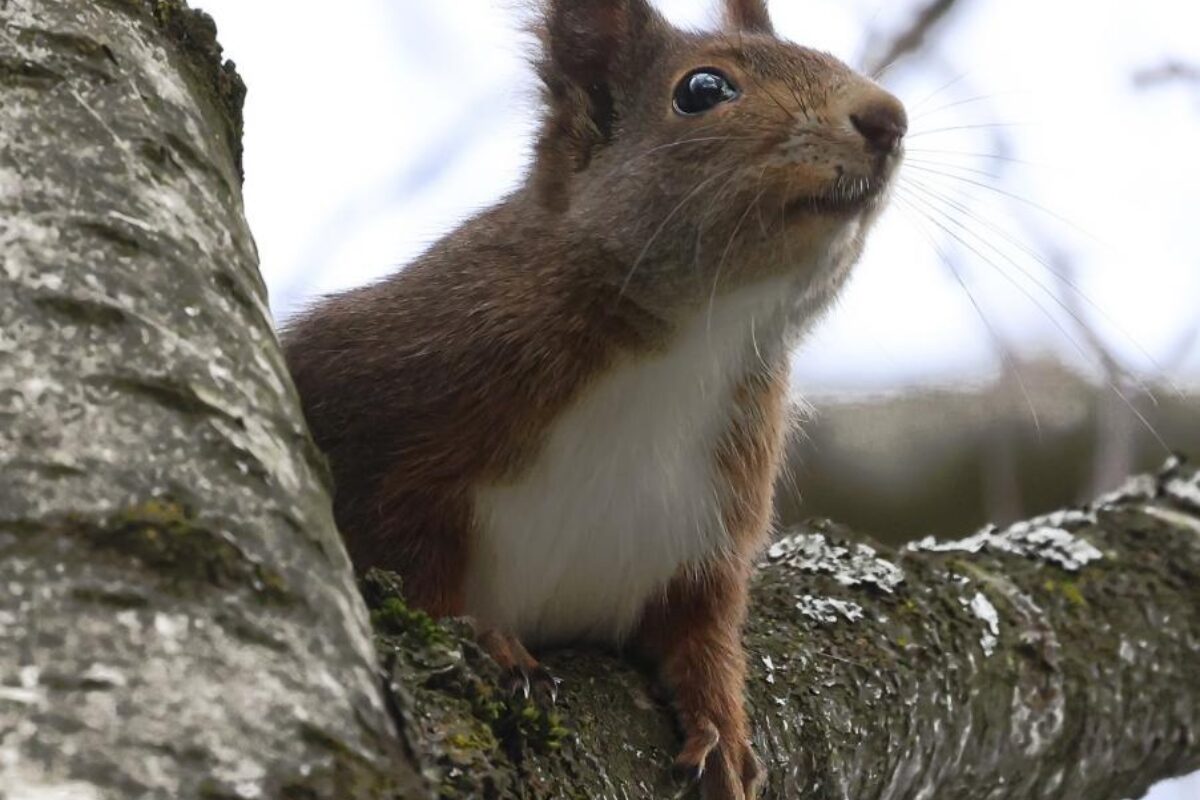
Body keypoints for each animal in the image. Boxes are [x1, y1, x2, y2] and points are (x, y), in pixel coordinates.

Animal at [280, 3, 902, 796]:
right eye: (703, 89)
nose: (888, 117)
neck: (692, 341)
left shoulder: (712, 526)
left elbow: (704, 631)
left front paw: (723, 726)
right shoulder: (383, 397)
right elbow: (406, 568)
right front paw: (488, 642)